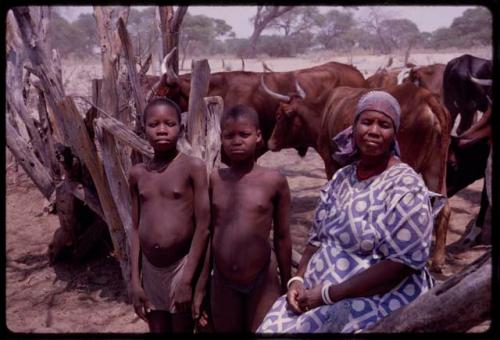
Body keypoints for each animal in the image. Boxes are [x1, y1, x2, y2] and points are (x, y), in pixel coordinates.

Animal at [266, 81, 454, 270]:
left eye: (278, 116)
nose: (270, 143)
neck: (323, 111)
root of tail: (427, 98)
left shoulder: (331, 164)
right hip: (435, 168)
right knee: (444, 208)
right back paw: (438, 260)